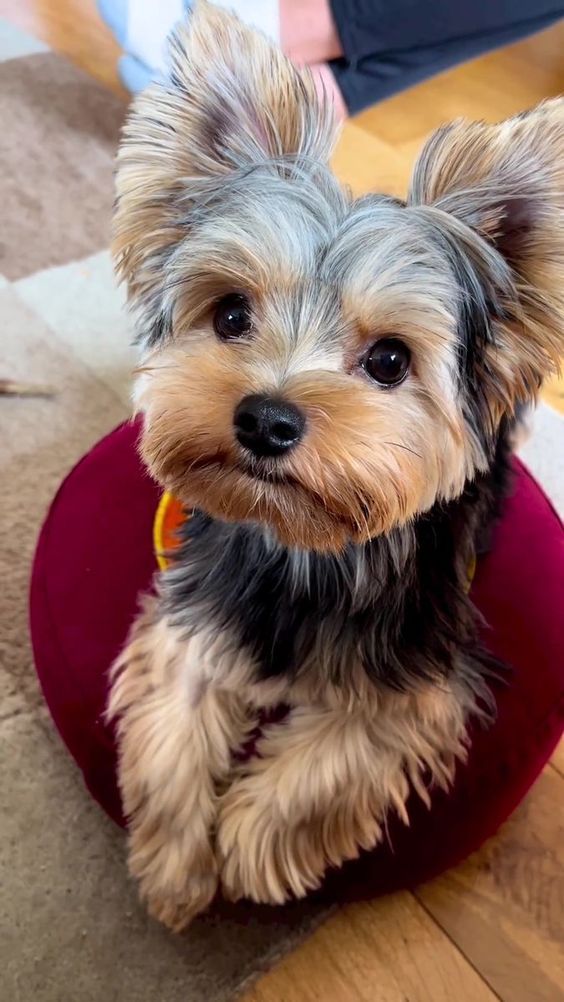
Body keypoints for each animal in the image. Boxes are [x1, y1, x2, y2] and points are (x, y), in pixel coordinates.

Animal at [107, 0, 564, 929]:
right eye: (231, 314)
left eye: (389, 361)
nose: (266, 418)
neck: (303, 549)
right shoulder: (198, 610)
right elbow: (174, 714)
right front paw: (176, 868)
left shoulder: (422, 681)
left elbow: (336, 760)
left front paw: (250, 846)